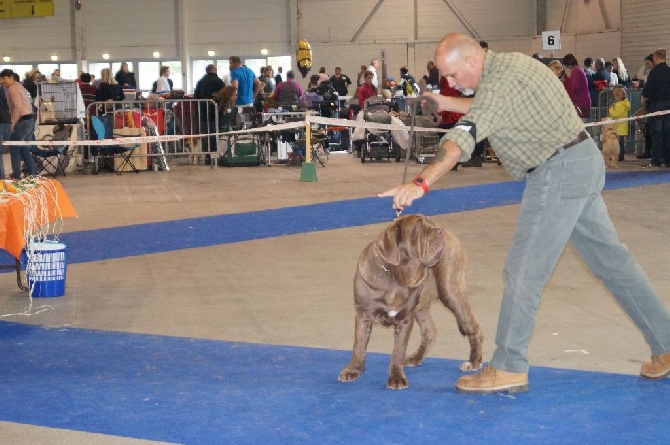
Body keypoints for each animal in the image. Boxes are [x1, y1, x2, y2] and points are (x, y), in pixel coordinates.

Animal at [338, 213, 486, 386]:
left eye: (430, 223)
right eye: (418, 226)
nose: (439, 231)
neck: (395, 276)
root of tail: (451, 234)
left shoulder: (405, 319)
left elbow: (398, 350)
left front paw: (396, 378)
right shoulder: (364, 314)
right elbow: (359, 344)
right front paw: (353, 370)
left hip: (452, 294)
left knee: (473, 328)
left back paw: (474, 361)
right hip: (421, 308)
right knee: (430, 331)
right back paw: (416, 358)